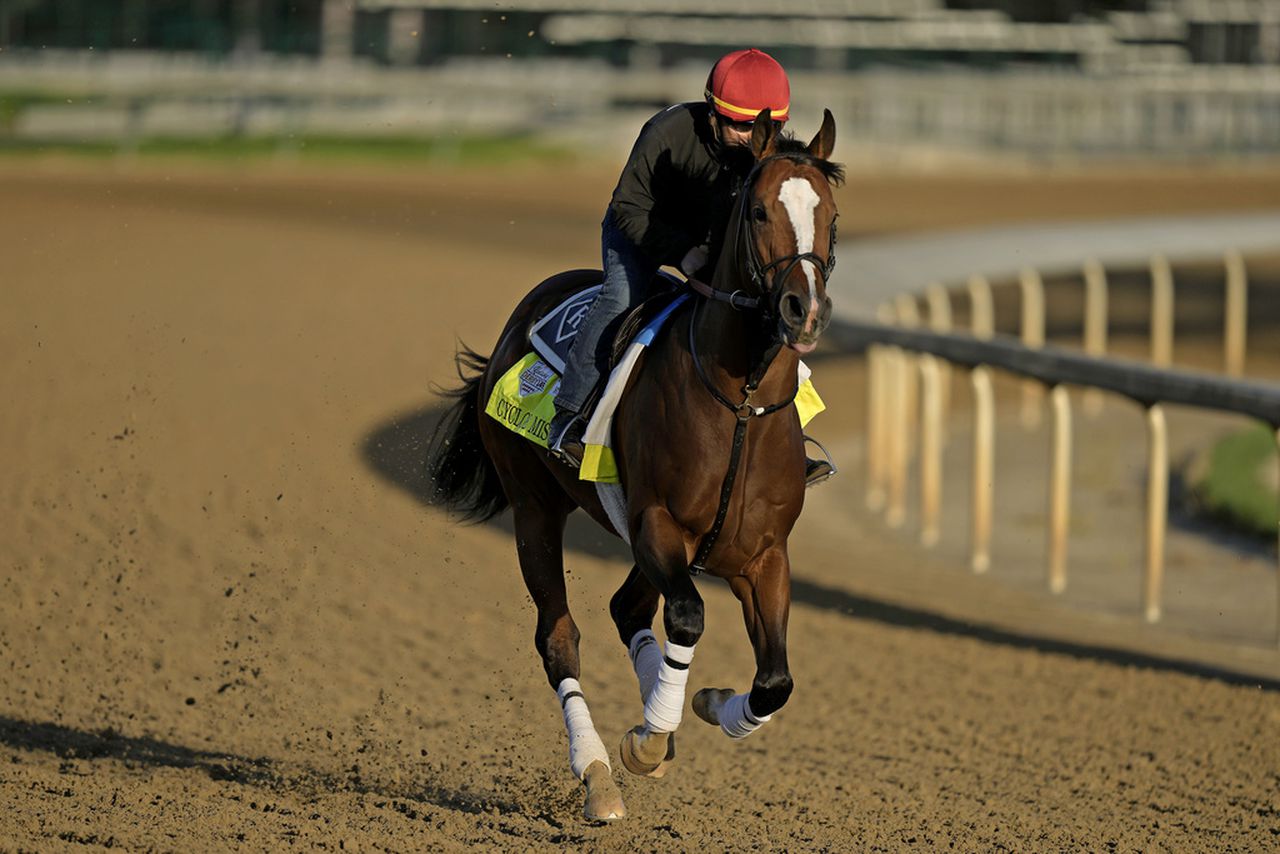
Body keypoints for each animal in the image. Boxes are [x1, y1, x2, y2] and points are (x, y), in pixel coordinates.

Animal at [430, 108, 844, 819]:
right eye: (759, 210)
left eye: (833, 215)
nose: (804, 310)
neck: (739, 403)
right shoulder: (656, 523)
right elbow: (688, 618)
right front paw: (646, 741)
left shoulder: (762, 554)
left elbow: (774, 681)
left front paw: (703, 706)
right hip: (535, 508)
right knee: (559, 635)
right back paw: (598, 772)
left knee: (628, 608)